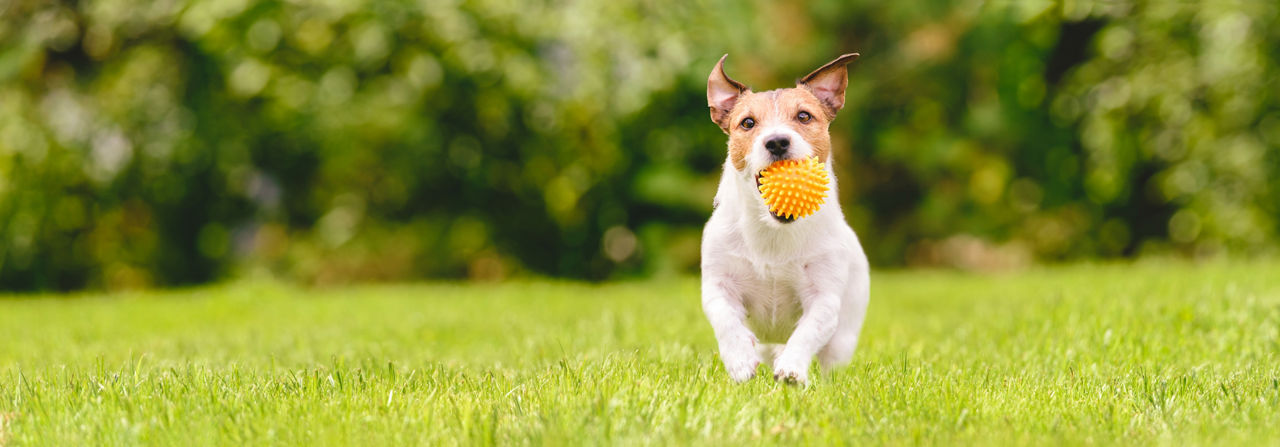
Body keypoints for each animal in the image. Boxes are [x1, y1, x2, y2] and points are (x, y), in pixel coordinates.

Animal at [701, 54, 870, 384]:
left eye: (804, 116)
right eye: (748, 123)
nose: (777, 141)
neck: (773, 233)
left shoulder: (824, 297)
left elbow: (808, 331)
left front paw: (792, 368)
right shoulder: (718, 284)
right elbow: (726, 320)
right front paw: (740, 360)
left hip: (844, 336)